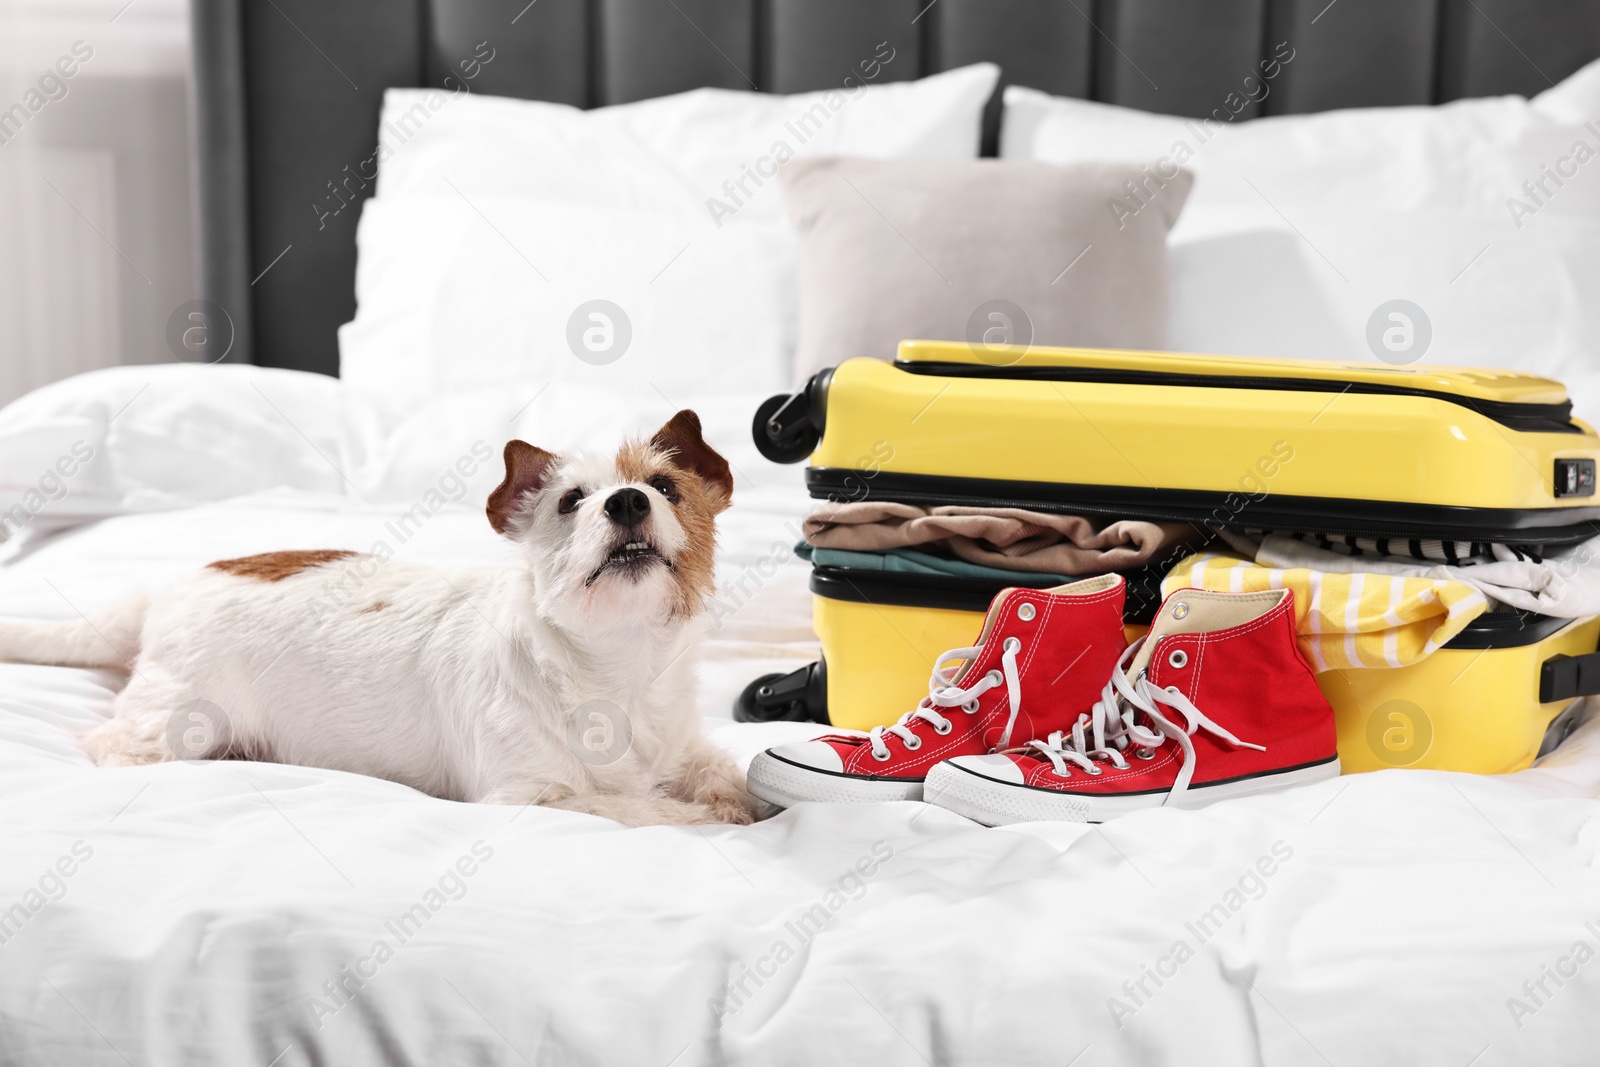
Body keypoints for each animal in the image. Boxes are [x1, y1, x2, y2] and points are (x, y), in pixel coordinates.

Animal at [0, 412, 768, 831]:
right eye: (571, 500)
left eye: (665, 487)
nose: (629, 502)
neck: (615, 665)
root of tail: (163, 592)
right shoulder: (528, 794)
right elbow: (634, 807)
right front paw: (709, 815)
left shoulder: (685, 748)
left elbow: (721, 772)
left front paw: (737, 795)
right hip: (178, 721)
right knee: (114, 743)